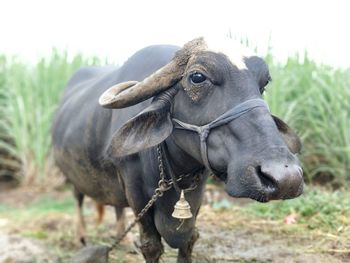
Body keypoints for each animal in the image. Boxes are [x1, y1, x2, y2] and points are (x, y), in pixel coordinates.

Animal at [51, 37, 304, 263]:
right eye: (197, 77)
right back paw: (81, 236)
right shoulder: (136, 194)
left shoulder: (197, 196)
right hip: (72, 175)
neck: (175, 166)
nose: (286, 177)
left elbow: (189, 239)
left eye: (264, 84)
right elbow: (151, 245)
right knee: (78, 199)